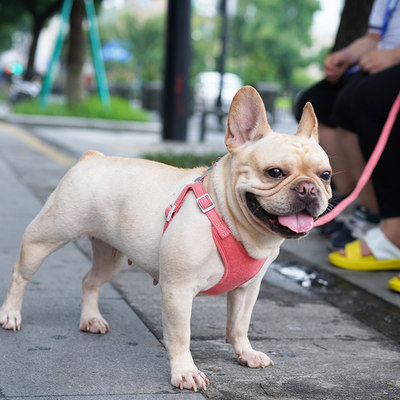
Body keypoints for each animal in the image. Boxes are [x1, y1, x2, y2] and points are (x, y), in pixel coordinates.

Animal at [0, 86, 332, 390]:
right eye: (274, 172)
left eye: (325, 175)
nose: (308, 188)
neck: (228, 218)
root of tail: (91, 158)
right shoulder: (178, 290)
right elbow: (181, 335)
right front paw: (185, 372)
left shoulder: (247, 289)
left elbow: (240, 324)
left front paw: (245, 353)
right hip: (46, 236)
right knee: (21, 274)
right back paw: (11, 314)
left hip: (110, 257)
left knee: (89, 281)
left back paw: (91, 319)